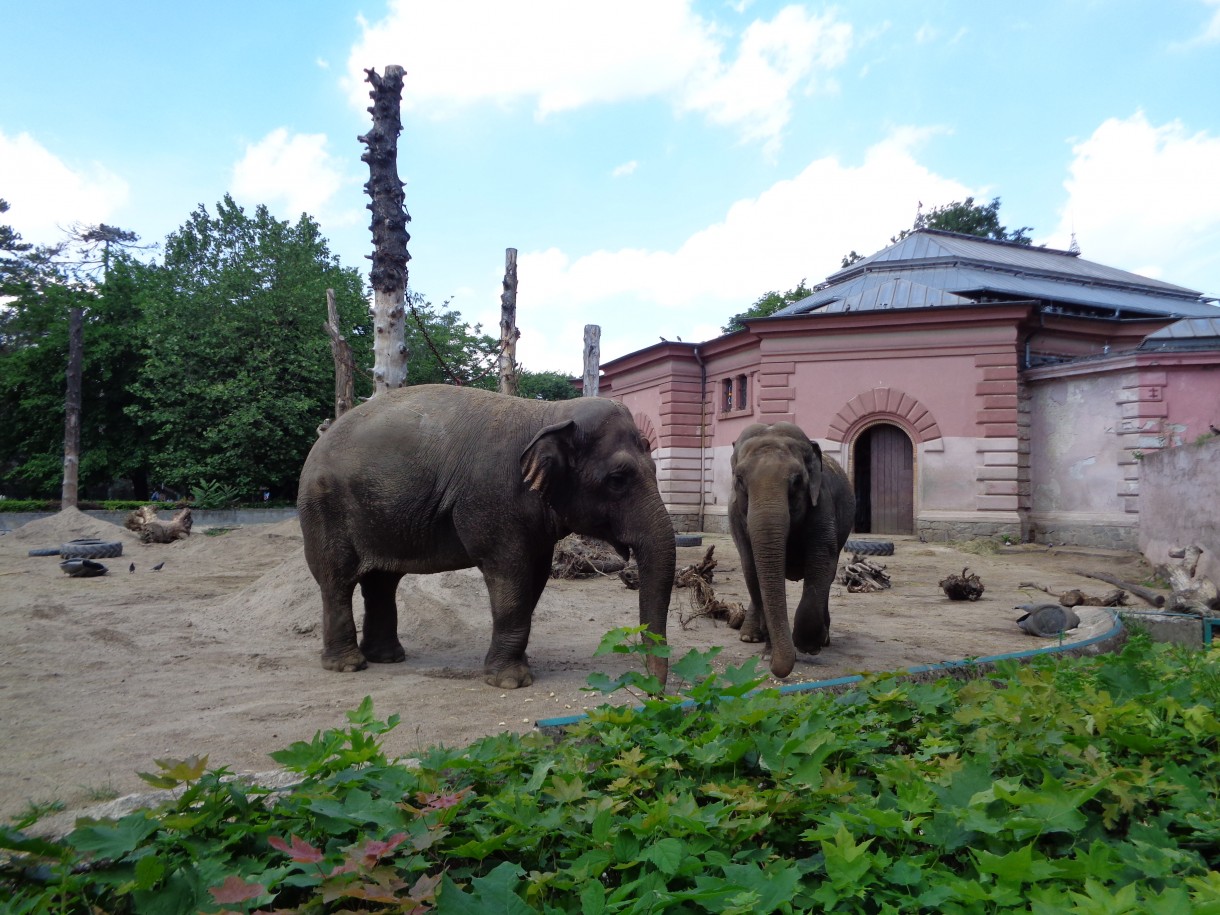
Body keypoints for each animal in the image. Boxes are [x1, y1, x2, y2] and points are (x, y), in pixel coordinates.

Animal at [296, 383, 678, 692]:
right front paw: (511, 682)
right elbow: (509, 576)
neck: (550, 412)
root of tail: (320, 440)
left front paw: (517, 669)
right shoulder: (492, 502)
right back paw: (348, 665)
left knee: (381, 582)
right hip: (324, 509)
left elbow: (535, 578)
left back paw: (387, 658)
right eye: (617, 479)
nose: (654, 691)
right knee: (337, 580)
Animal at [727, 424, 854, 683]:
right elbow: (751, 567)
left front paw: (808, 646)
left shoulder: (822, 504)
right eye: (739, 479)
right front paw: (768, 652)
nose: (774, 667)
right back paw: (749, 637)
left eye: (796, 481)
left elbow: (821, 563)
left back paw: (824, 640)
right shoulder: (736, 515)